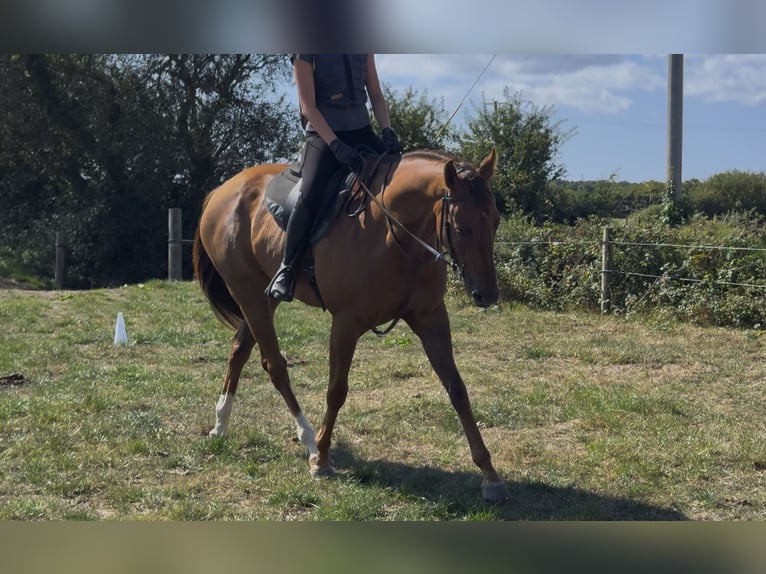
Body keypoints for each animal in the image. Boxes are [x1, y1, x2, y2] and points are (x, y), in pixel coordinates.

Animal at [192, 148, 510, 502]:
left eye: (494, 221)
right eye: (461, 227)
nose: (487, 294)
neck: (395, 236)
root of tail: (220, 193)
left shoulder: (432, 318)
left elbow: (457, 390)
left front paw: (489, 473)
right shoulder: (346, 323)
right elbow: (336, 390)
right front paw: (322, 458)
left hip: (263, 296)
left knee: (240, 350)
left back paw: (221, 424)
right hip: (247, 293)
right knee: (274, 364)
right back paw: (307, 438)